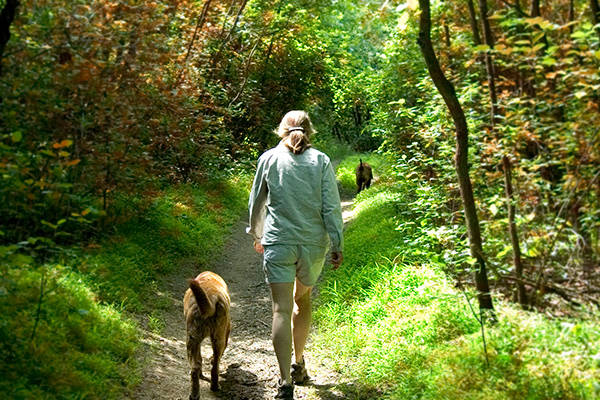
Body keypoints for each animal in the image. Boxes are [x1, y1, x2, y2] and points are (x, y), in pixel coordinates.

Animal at [183, 270, 232, 398]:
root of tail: (212, 297)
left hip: (192, 340)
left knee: (195, 367)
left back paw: (194, 395)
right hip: (216, 338)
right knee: (215, 366)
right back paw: (215, 387)